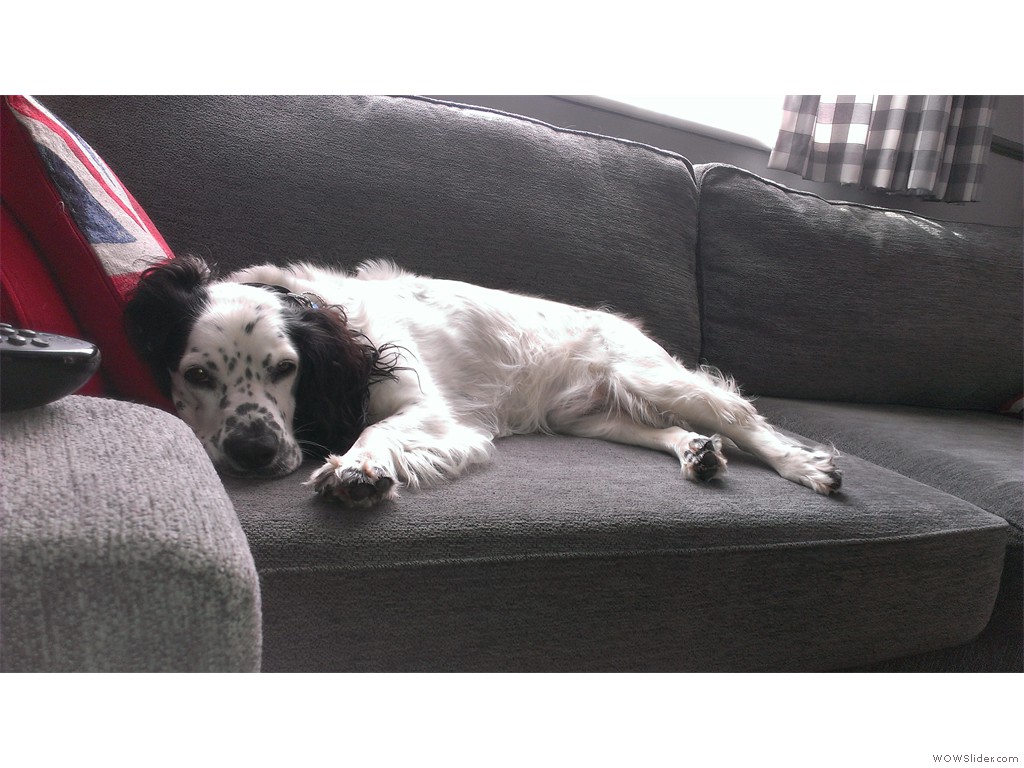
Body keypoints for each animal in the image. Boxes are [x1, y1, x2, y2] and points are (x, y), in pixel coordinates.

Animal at [124, 256, 841, 505]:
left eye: (284, 369)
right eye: (196, 375)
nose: (252, 451)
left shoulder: (426, 410)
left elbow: (376, 433)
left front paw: (356, 469)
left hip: (649, 376)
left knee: (742, 418)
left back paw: (804, 466)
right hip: (592, 415)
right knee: (666, 429)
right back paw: (697, 452)